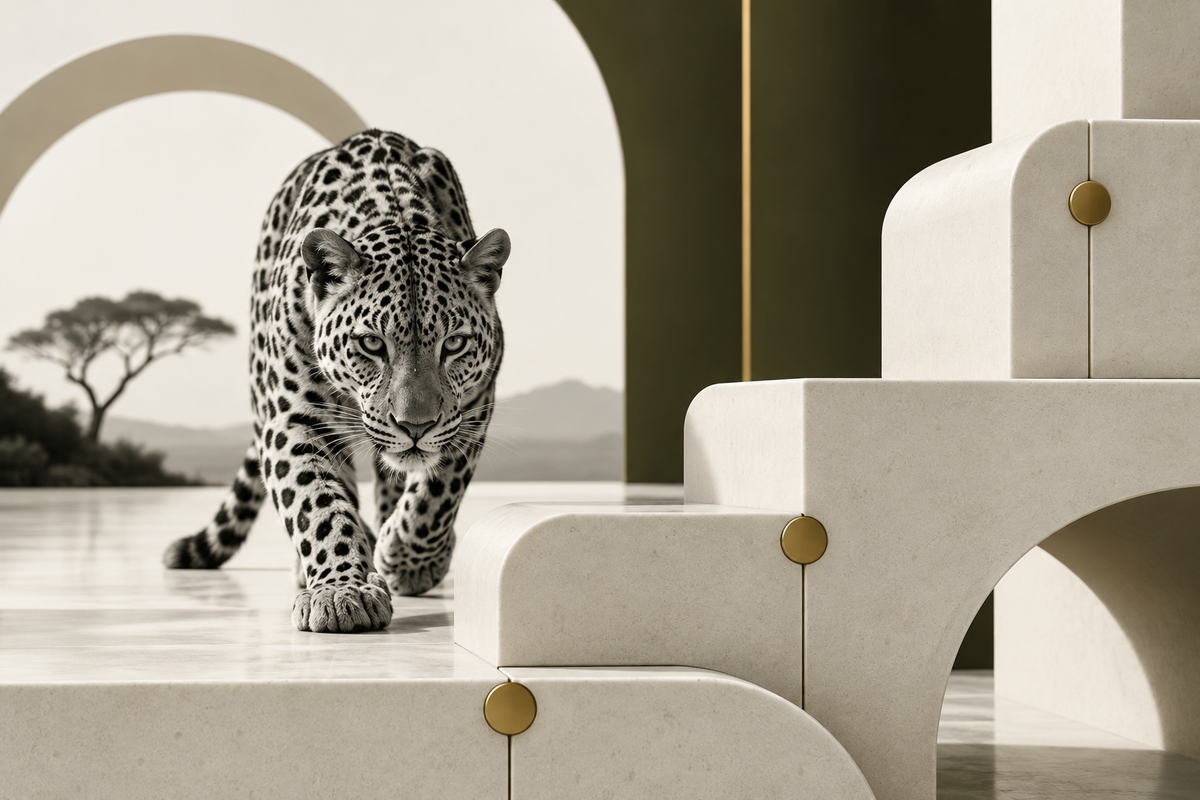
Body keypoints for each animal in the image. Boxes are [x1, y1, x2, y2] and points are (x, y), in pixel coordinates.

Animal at [163, 129, 509, 633]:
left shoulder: (475, 404)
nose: (415, 426)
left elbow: (438, 491)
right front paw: (343, 590)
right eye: (371, 344)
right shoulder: (294, 419)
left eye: (456, 344)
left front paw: (407, 557)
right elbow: (317, 504)